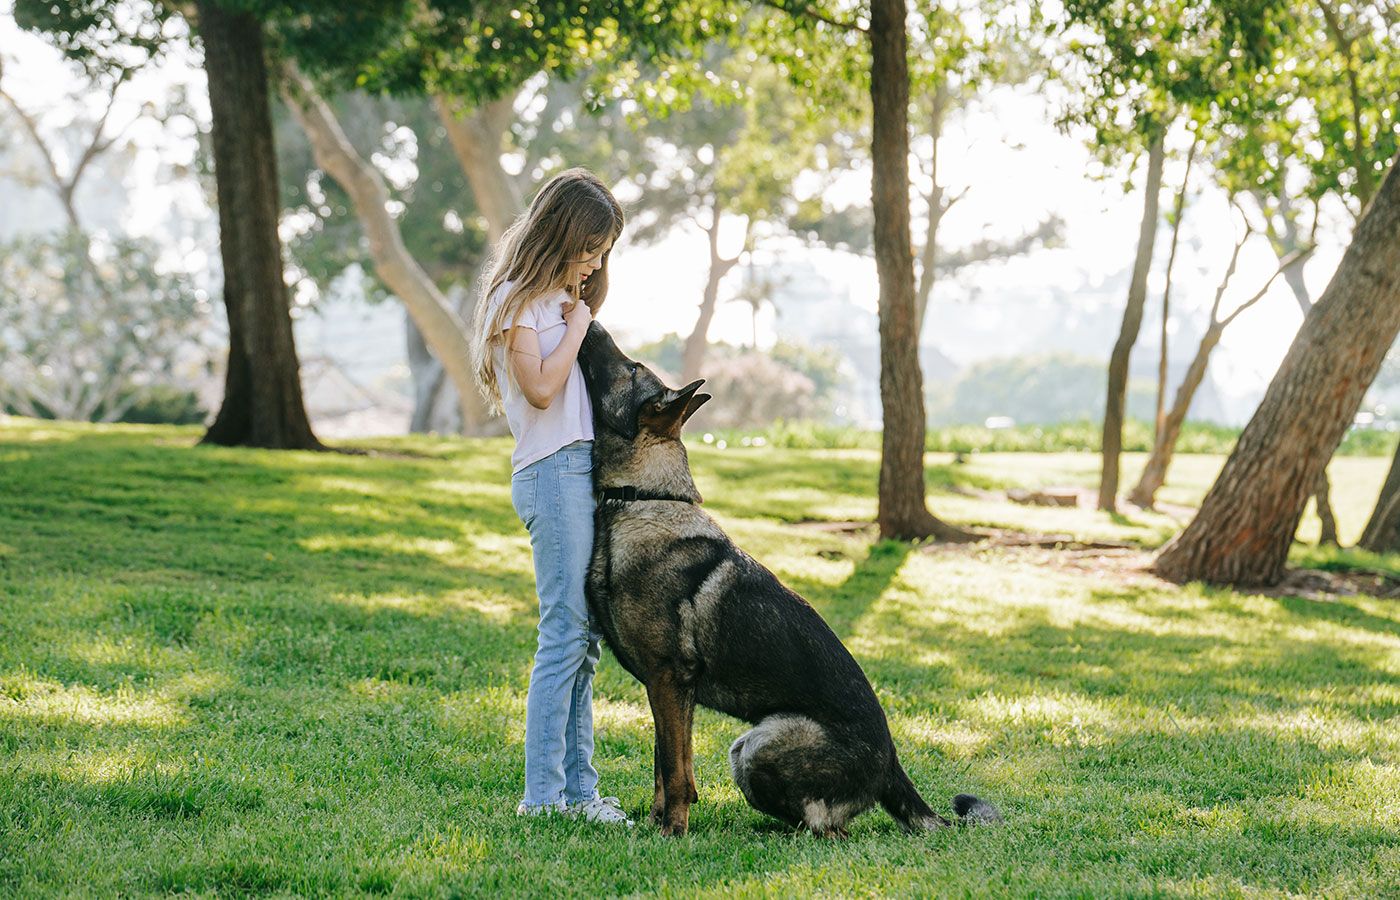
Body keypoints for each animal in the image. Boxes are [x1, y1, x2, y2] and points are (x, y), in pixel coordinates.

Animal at [574, 323, 1002, 839]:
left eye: (632, 367)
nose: (591, 322)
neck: (643, 496)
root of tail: (892, 766)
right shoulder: (667, 691)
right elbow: (666, 763)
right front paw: (659, 822)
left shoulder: (670, 679)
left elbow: (676, 771)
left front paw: (671, 832)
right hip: (747, 748)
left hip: (759, 743)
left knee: (828, 828)